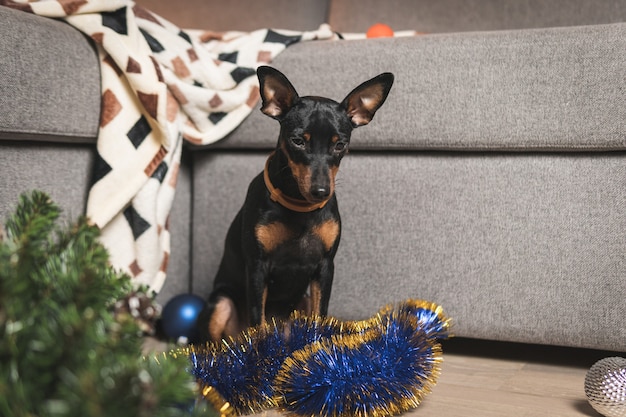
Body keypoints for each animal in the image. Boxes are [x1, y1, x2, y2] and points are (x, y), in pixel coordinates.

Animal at [197, 64, 392, 338]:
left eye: (340, 145)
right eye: (298, 141)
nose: (321, 191)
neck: (300, 207)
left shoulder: (325, 268)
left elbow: (320, 318)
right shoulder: (257, 267)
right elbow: (259, 324)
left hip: (303, 301)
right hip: (221, 305)